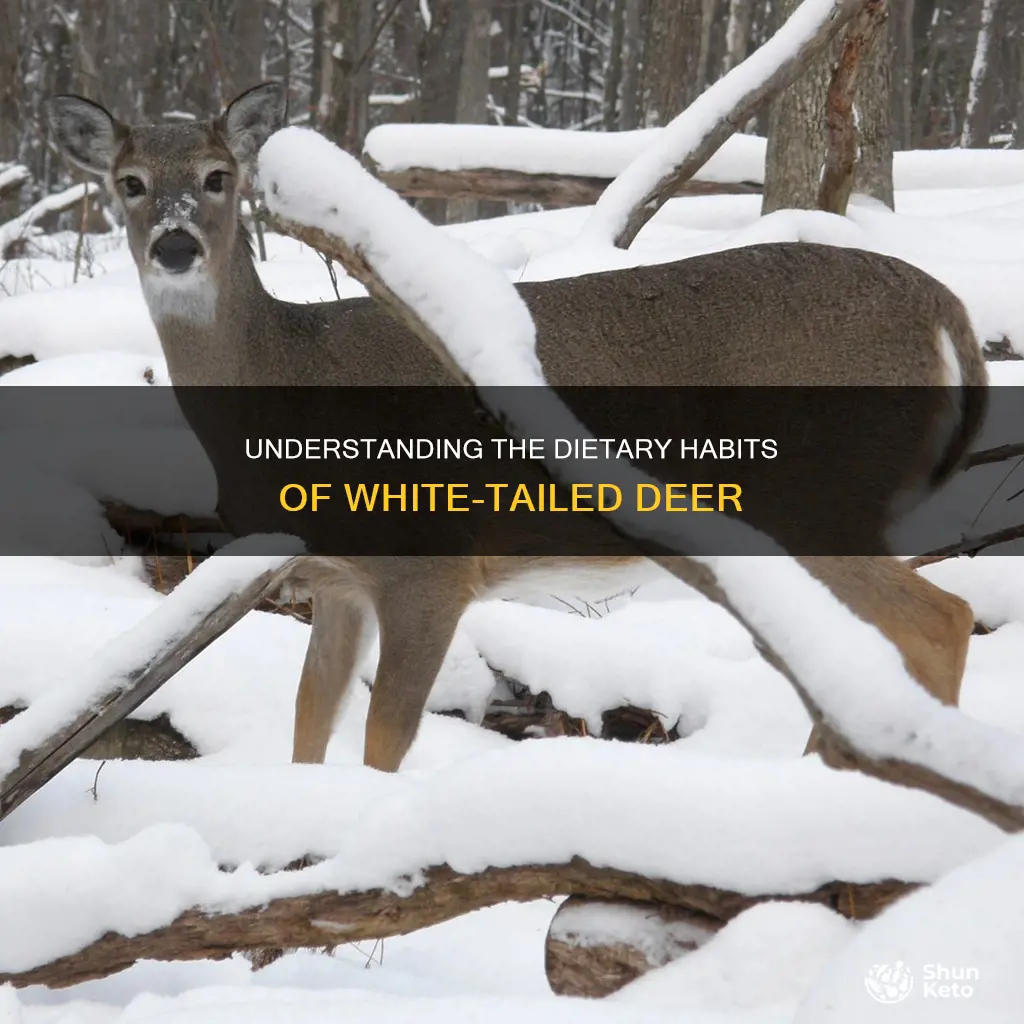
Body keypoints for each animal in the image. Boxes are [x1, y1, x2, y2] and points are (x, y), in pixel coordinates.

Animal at [47, 82, 987, 773]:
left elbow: (383, 745)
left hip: (822, 493)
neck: (293, 387)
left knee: (943, 614)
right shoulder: (336, 579)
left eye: (218, 176)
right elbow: (308, 731)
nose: (174, 247)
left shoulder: (433, 563)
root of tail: (947, 308)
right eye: (129, 183)